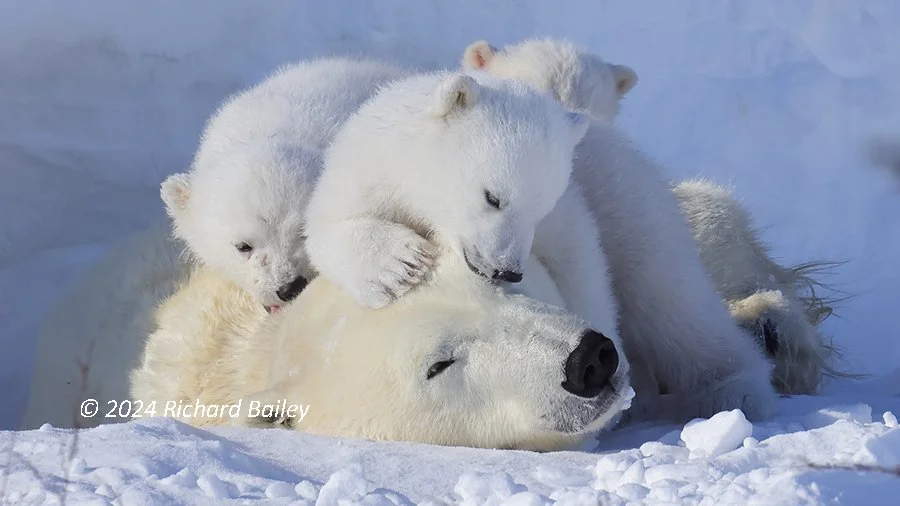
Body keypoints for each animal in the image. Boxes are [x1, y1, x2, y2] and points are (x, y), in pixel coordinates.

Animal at [303, 69, 621, 337]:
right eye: (492, 198)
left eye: (542, 210)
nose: (508, 270)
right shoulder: (369, 173)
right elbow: (321, 230)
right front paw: (400, 264)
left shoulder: (567, 232)